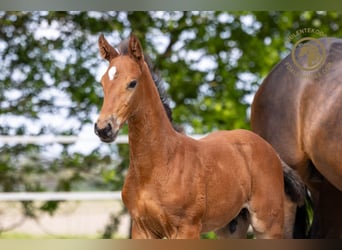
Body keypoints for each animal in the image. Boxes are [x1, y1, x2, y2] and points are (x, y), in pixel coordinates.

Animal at [93, 33, 302, 238]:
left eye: (132, 83)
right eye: (102, 83)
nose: (104, 128)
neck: (159, 164)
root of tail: (271, 151)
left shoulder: (187, 227)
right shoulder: (141, 229)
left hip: (268, 225)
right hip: (230, 227)